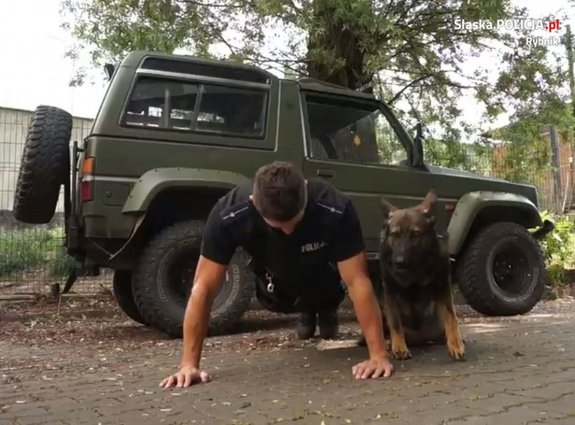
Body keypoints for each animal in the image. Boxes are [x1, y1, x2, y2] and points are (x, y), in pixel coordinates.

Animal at [376, 190, 466, 360]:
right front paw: (399, 346)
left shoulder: (444, 288)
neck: (416, 269)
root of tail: (421, 339)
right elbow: (395, 322)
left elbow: (451, 317)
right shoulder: (390, 292)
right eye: (395, 234)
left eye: (415, 234)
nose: (399, 262)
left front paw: (455, 344)